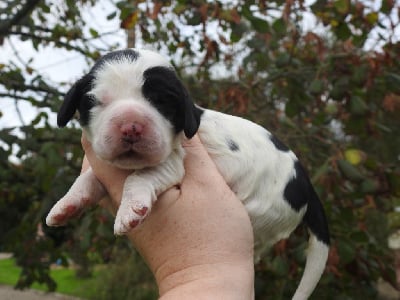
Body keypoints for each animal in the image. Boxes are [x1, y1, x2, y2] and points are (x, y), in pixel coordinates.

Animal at [47, 48, 330, 298]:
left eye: (161, 101)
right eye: (96, 102)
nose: (131, 127)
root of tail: (307, 186)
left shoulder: (173, 162)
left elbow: (140, 177)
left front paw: (132, 209)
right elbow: (87, 178)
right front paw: (67, 204)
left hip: (265, 214)